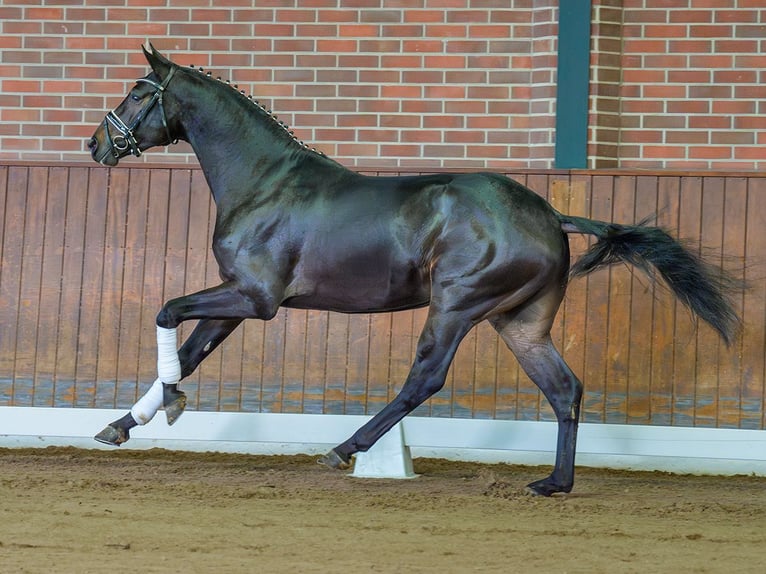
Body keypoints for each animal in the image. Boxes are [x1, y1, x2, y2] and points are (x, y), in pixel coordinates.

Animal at [87, 45, 740, 498]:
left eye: (138, 93)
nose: (97, 144)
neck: (265, 183)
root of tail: (550, 215)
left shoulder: (255, 298)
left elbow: (167, 312)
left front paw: (165, 406)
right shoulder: (237, 300)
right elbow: (190, 351)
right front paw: (124, 424)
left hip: (456, 305)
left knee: (425, 378)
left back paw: (345, 449)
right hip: (519, 322)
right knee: (563, 389)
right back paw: (554, 484)